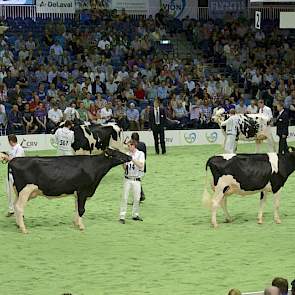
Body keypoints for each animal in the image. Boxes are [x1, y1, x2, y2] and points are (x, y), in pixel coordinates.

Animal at [0, 149, 131, 235]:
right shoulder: (83, 190)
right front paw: (81, 227)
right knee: (19, 207)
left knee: (15, 206)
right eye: (117, 154)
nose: (129, 157)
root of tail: (13, 160)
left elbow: (76, 208)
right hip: (25, 190)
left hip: (18, 191)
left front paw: (76, 223)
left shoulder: (77, 192)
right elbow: (81, 209)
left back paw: (18, 225)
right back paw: (24, 229)